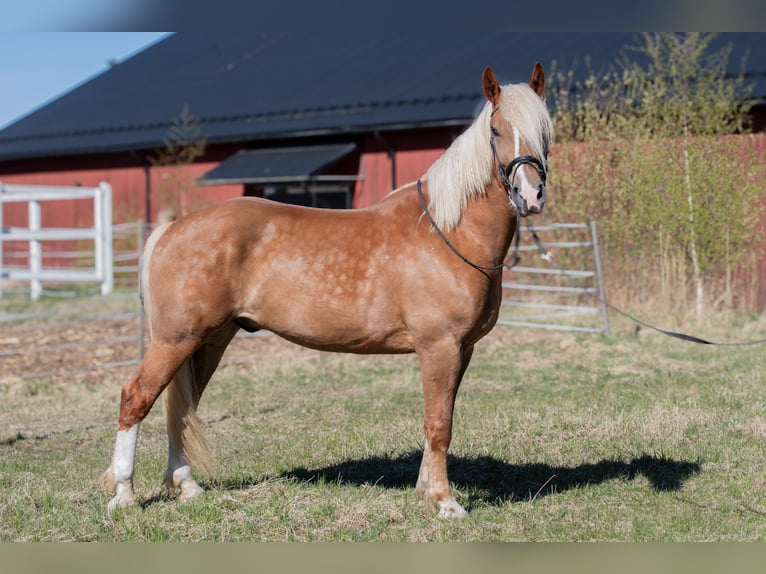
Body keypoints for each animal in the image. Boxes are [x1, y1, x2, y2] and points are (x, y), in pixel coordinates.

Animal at [101, 64, 553, 518]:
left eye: (545, 131)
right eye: (495, 130)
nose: (530, 195)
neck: (447, 232)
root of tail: (171, 228)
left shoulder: (462, 349)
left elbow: (437, 422)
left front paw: (426, 490)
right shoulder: (439, 346)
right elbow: (439, 424)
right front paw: (445, 502)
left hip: (208, 340)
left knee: (181, 407)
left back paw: (187, 486)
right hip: (176, 339)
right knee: (136, 397)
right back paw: (123, 495)